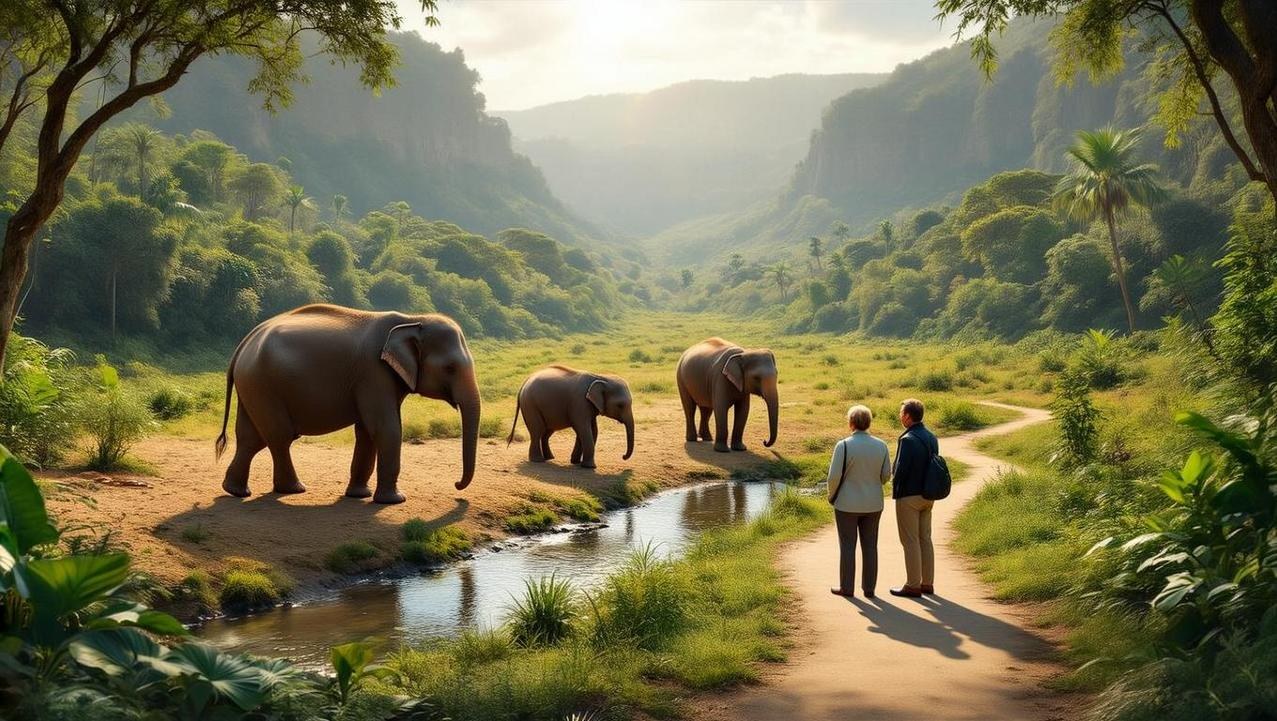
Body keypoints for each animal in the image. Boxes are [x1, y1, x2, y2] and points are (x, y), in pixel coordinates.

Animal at [214, 304, 480, 504]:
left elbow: (367, 431)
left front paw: (359, 495)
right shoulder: (373, 372)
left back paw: (235, 491)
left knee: (251, 438)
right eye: (450, 368)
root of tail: (243, 344)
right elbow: (385, 428)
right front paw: (394, 501)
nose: (456, 485)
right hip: (263, 384)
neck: (412, 320)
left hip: (253, 385)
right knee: (280, 436)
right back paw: (293, 490)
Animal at [506, 366, 634, 469]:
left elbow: (592, 430)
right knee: (537, 431)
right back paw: (538, 460)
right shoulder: (579, 402)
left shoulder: (589, 406)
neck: (601, 377)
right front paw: (589, 467)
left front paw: (576, 462)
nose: (623, 456)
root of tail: (524, 383)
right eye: (620, 405)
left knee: (546, 432)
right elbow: (584, 429)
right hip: (530, 405)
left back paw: (550, 458)